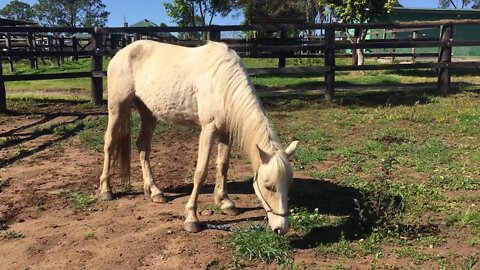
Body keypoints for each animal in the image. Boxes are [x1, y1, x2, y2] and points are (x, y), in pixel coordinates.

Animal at [99, 39, 298, 235]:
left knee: (142, 146)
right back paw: (106, 190)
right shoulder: (208, 130)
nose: (281, 228)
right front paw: (191, 218)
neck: (221, 83)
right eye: (267, 186)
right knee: (109, 143)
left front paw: (226, 203)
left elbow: (223, 166)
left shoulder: (226, 132)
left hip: (148, 112)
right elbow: (201, 172)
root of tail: (121, 52)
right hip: (118, 107)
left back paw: (154, 191)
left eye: (289, 185)